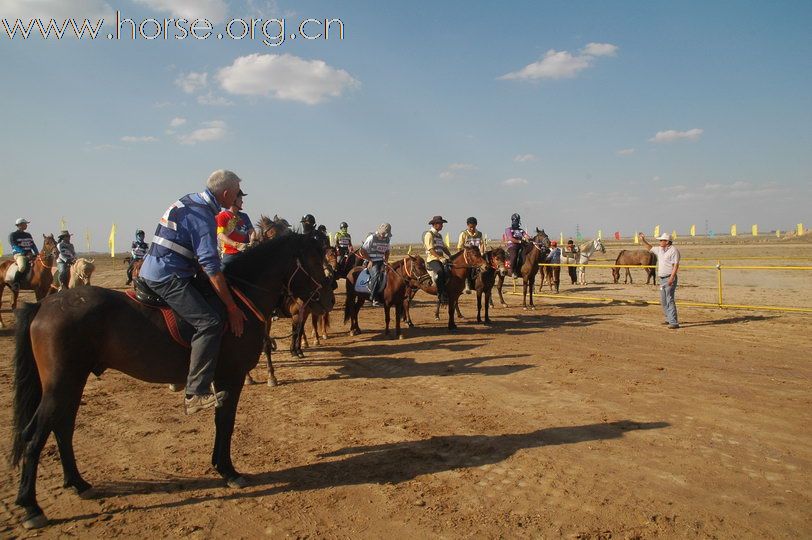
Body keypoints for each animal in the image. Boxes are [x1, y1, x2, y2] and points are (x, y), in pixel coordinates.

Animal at [9, 234, 334, 528]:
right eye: (315, 260)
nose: (327, 300)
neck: (237, 300)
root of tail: (43, 305)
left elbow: (221, 423)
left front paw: (221, 467)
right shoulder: (230, 377)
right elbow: (225, 423)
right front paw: (228, 471)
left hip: (72, 383)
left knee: (62, 428)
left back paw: (78, 483)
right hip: (60, 385)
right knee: (34, 436)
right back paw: (31, 506)